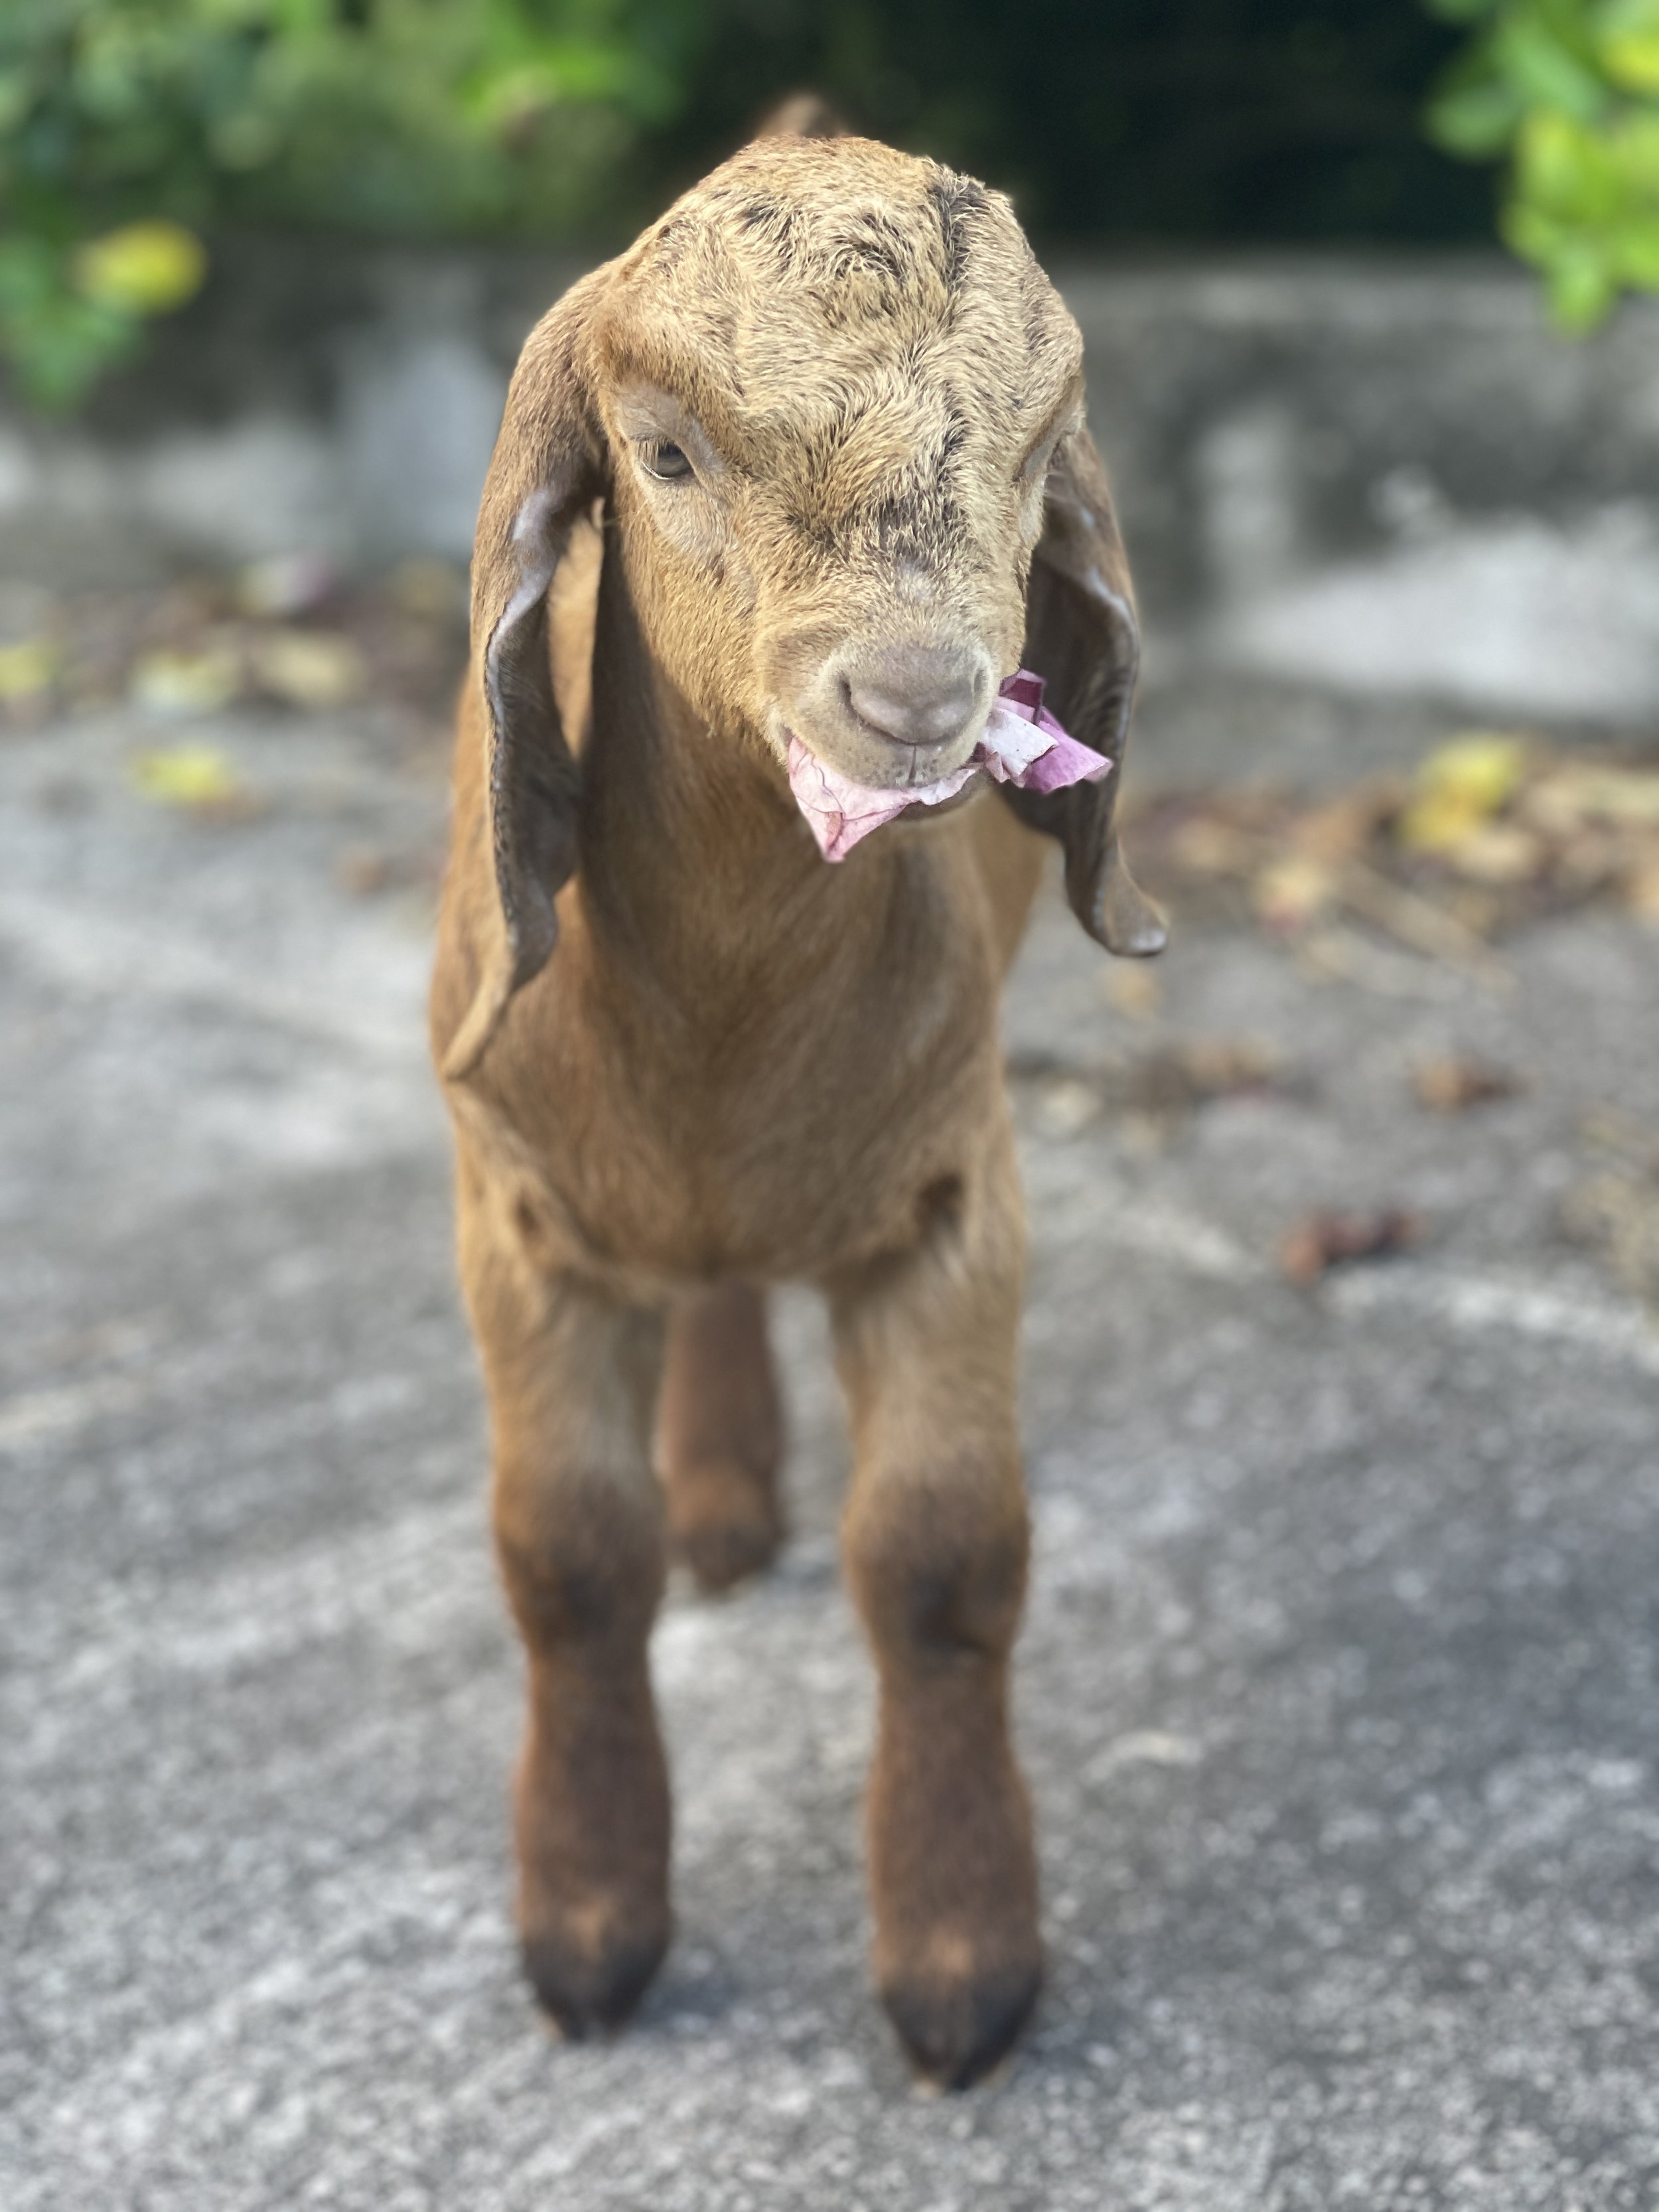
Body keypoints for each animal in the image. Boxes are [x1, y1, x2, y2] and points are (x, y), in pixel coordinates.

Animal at [428, 127, 1164, 2090]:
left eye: (1031, 451)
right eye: (668, 453)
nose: (912, 698)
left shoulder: (953, 1194)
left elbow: (939, 1558)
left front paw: (961, 1965)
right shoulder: (514, 1212)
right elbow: (566, 1556)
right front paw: (590, 1933)